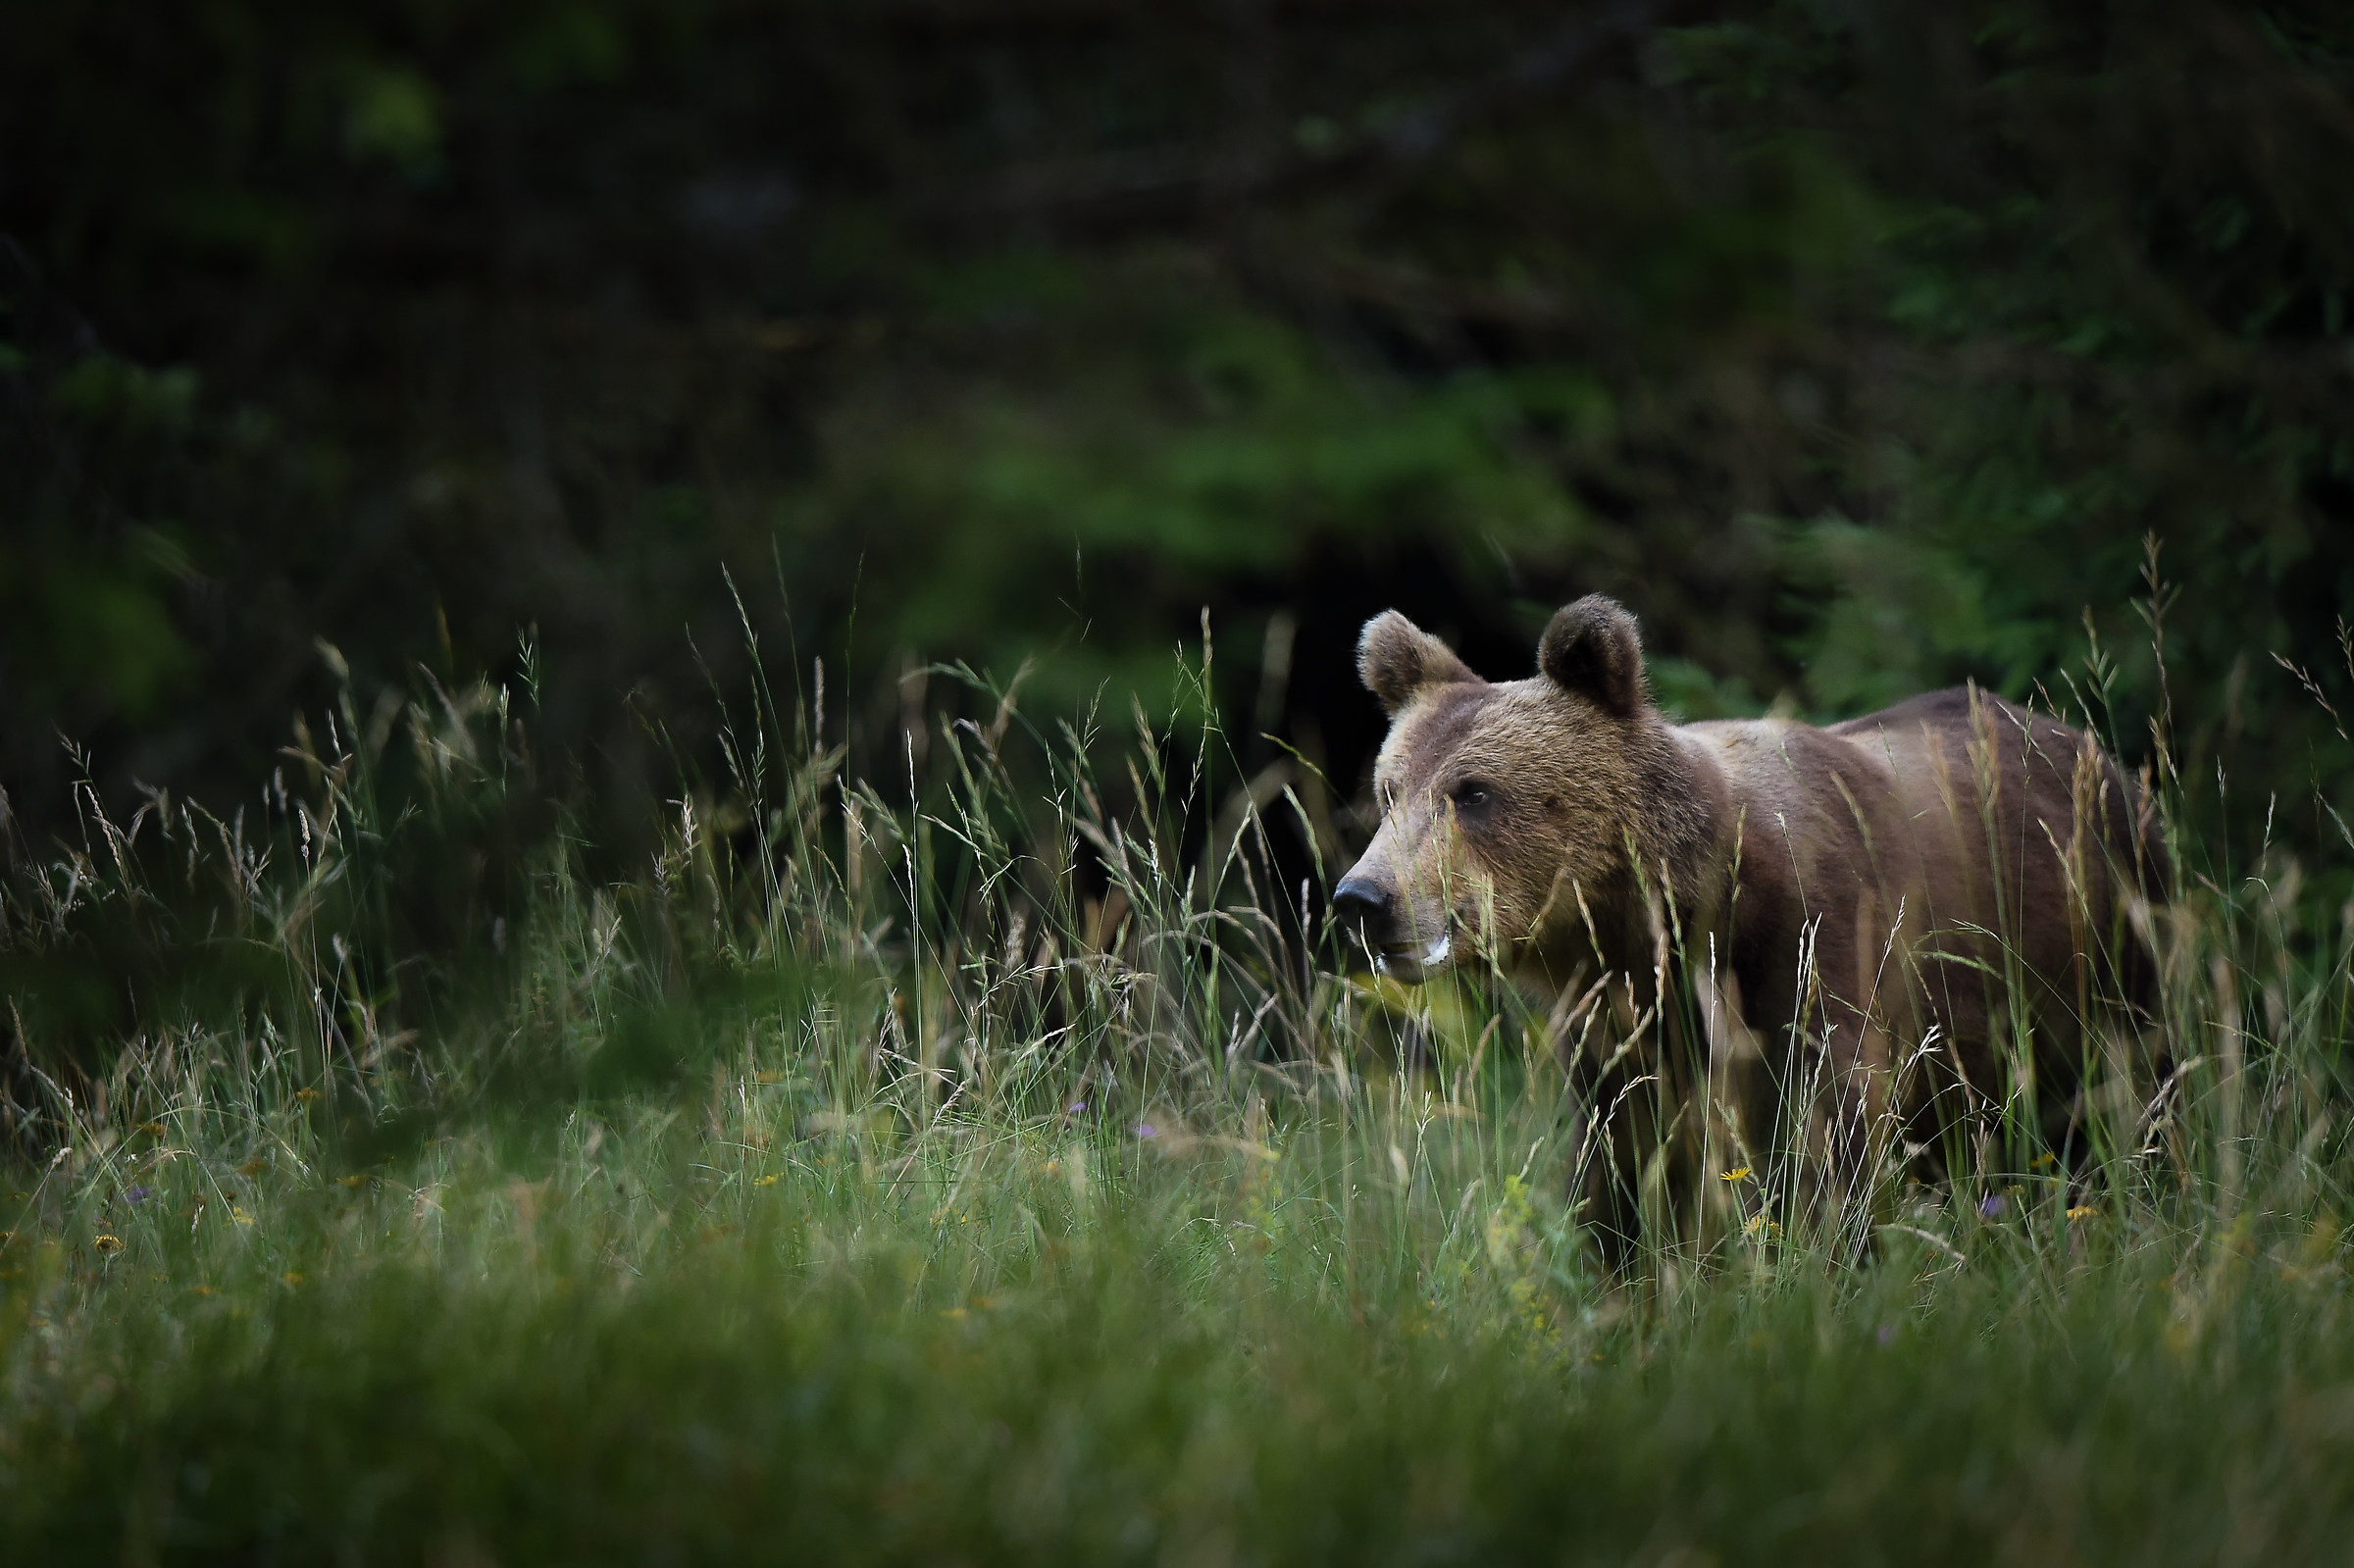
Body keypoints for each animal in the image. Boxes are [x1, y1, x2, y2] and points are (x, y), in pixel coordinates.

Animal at [1332, 594, 2167, 1259]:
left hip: (2095, 955)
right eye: (1390, 788)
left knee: (2129, 1096)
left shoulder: (1815, 953)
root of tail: (2094, 749)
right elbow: (1621, 1178)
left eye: (1474, 791)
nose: (1363, 897)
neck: (1670, 909)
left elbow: (1831, 1151)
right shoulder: (1623, 1030)